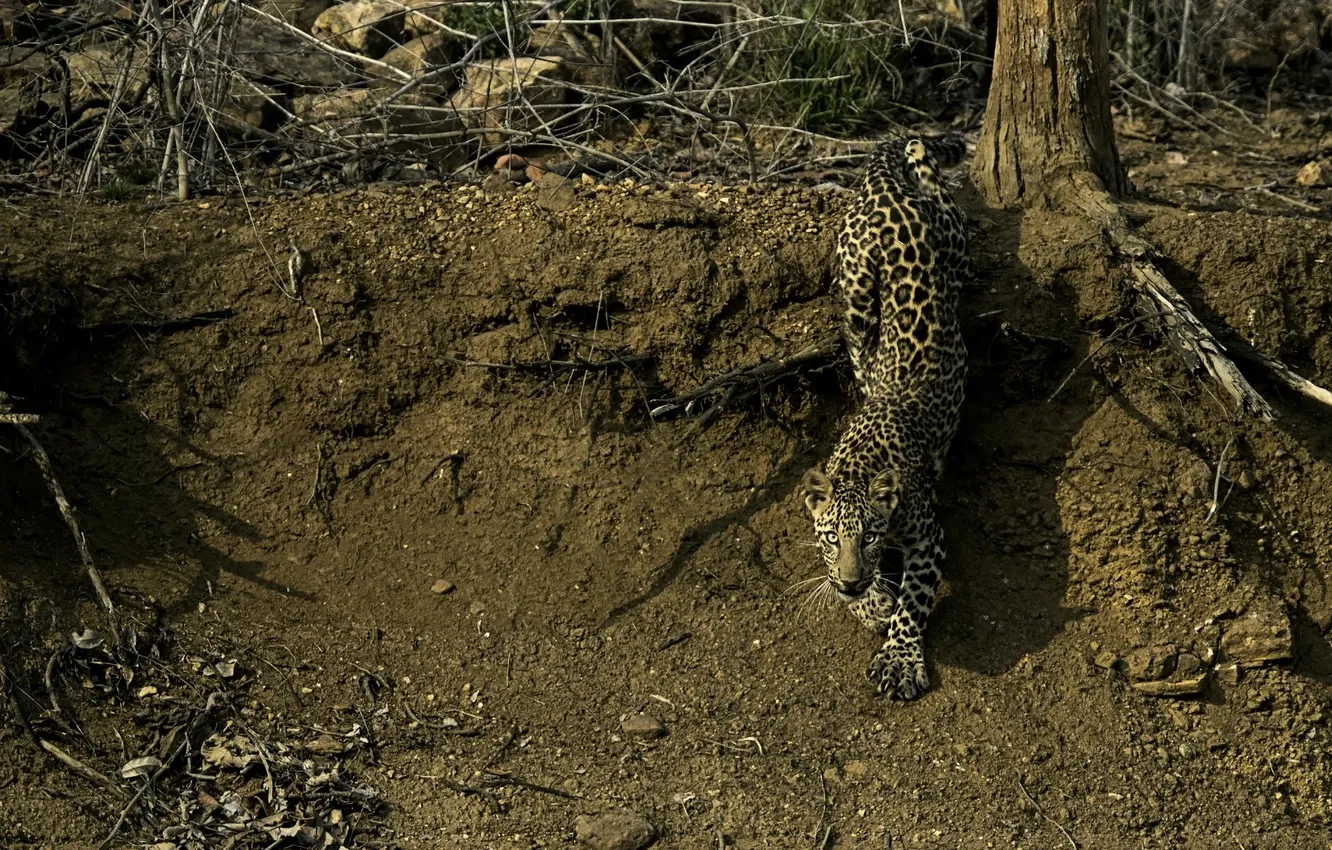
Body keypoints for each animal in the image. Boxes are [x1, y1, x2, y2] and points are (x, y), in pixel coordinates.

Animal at [793, 133, 975, 703]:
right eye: (832, 538)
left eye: (872, 536)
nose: (853, 580)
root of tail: (881, 175)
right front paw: (869, 603)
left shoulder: (929, 537)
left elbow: (914, 600)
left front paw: (899, 657)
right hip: (853, 290)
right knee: (858, 343)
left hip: (951, 244)